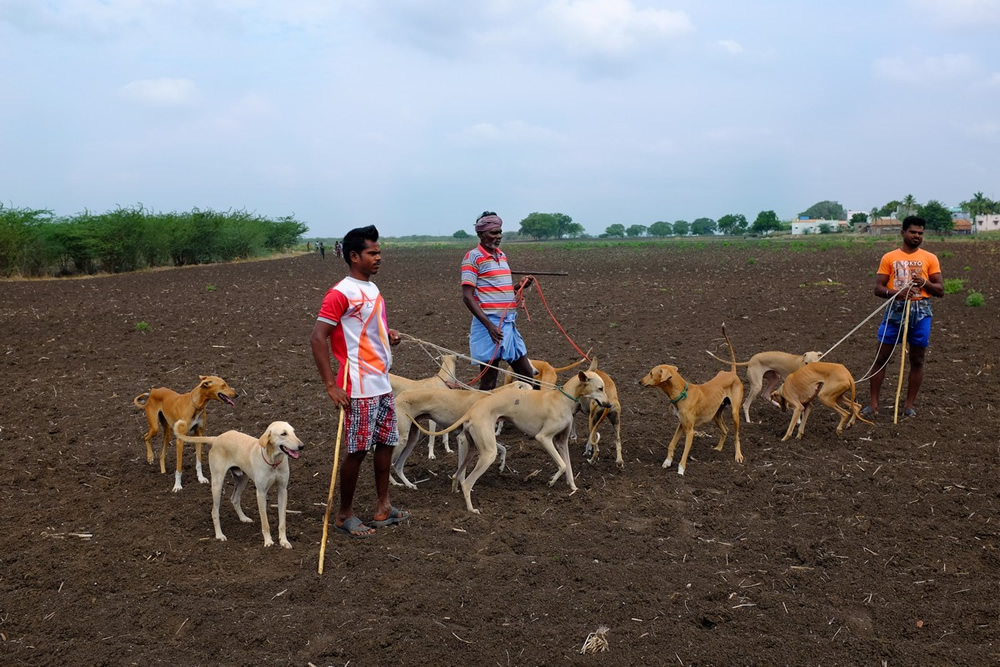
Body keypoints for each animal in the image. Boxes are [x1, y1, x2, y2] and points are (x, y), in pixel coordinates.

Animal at [174, 420, 302, 552]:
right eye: (283, 434)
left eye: (293, 432)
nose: (301, 446)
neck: (273, 462)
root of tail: (217, 438)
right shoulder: (261, 493)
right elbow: (265, 523)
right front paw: (268, 542)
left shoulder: (283, 490)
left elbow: (282, 522)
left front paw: (284, 541)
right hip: (217, 484)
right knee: (214, 511)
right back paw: (219, 535)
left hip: (242, 480)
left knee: (234, 499)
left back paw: (243, 518)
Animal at [640, 324, 744, 472]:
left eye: (650, 373)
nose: (640, 381)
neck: (682, 393)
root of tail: (732, 373)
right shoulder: (681, 424)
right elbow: (671, 444)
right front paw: (667, 461)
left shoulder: (690, 431)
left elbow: (685, 452)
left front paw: (681, 470)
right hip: (716, 415)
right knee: (725, 430)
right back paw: (718, 448)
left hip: (735, 413)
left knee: (736, 435)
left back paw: (738, 455)